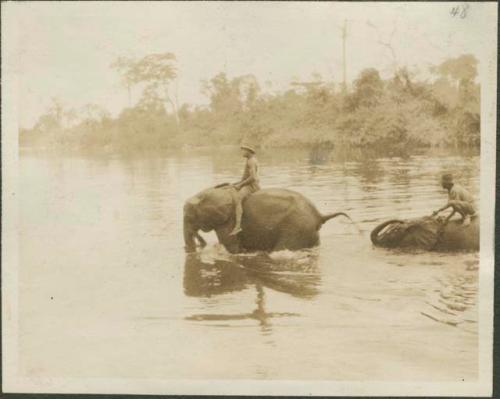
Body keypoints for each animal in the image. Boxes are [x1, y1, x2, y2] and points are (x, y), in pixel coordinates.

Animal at [182, 186, 350, 255]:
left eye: (189, 217)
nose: (200, 243)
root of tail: (319, 215)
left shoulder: (228, 222)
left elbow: (231, 248)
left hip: (296, 228)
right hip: (309, 231)